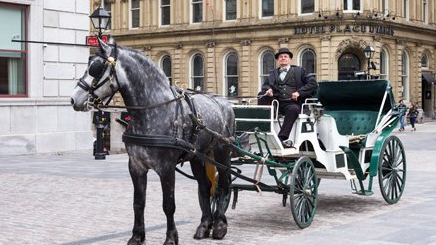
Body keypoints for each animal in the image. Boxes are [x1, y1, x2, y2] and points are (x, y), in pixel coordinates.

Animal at [70, 38, 235, 245]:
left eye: (96, 68)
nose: (74, 99)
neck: (151, 110)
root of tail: (224, 101)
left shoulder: (166, 168)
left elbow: (168, 205)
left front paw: (171, 238)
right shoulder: (136, 166)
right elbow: (138, 203)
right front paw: (137, 236)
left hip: (222, 151)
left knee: (224, 184)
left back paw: (220, 225)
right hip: (198, 156)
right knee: (204, 187)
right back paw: (204, 226)